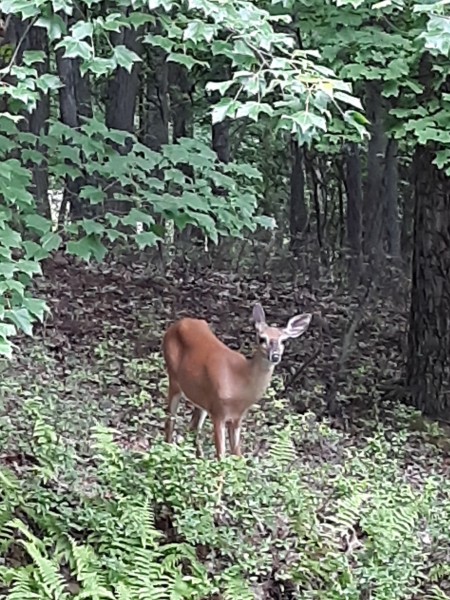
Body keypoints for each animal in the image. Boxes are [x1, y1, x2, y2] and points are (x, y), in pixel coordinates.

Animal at [163, 304, 312, 460]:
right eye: (262, 338)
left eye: (284, 340)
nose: (275, 356)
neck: (240, 382)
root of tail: (178, 323)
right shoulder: (218, 412)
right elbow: (221, 455)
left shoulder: (237, 416)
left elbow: (237, 454)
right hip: (173, 378)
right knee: (170, 421)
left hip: (201, 399)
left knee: (192, 427)